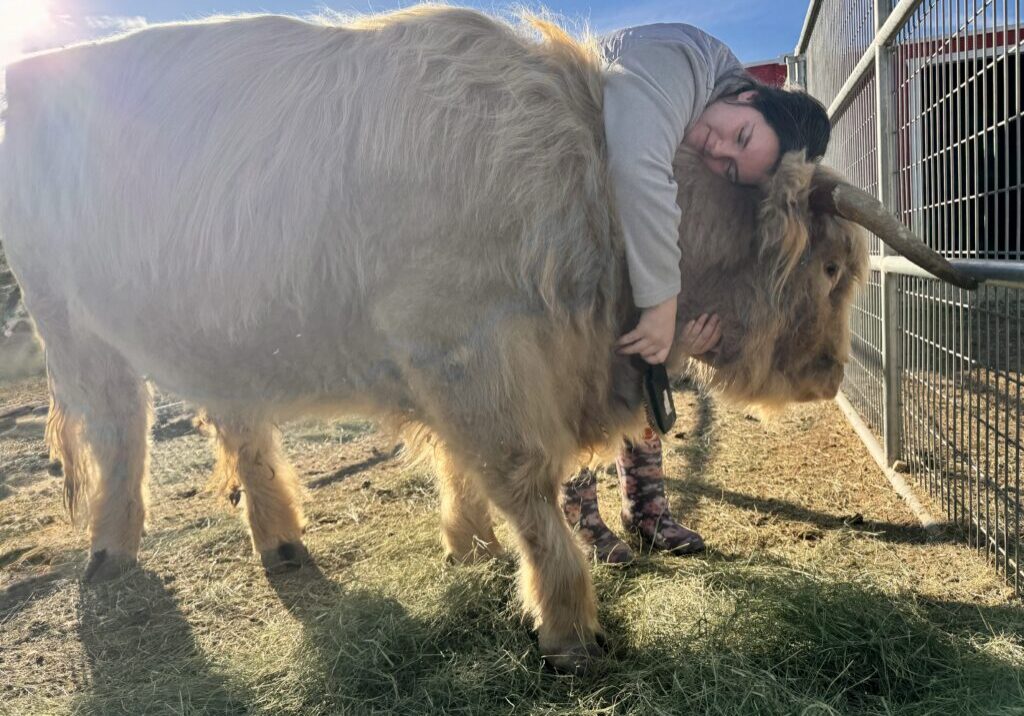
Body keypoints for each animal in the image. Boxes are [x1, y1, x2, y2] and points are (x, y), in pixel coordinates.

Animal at [0, 6, 974, 672]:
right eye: (833, 268)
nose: (828, 374)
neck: (599, 191)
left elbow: (466, 468)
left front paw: (468, 547)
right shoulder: (469, 355)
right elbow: (526, 485)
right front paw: (569, 625)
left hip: (216, 327)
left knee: (235, 420)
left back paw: (280, 541)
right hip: (69, 316)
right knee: (119, 427)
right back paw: (108, 554)